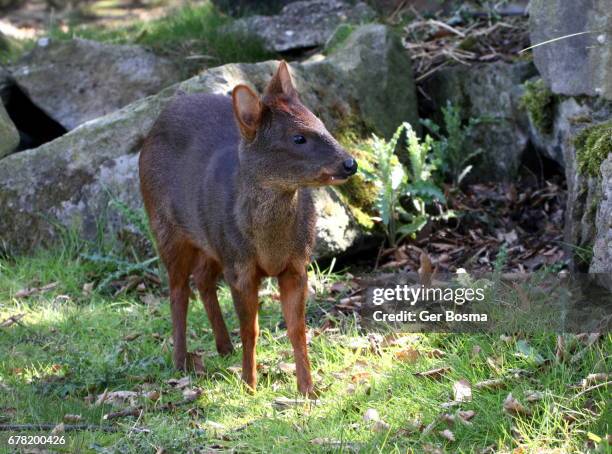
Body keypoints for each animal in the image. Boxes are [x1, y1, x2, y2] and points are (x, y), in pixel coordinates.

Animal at [139, 62, 358, 396]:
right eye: (298, 138)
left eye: (321, 123)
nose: (350, 163)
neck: (270, 245)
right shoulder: (240, 266)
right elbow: (250, 328)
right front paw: (250, 384)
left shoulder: (297, 265)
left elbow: (297, 328)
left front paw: (307, 388)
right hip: (165, 227)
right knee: (177, 290)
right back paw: (180, 361)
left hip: (212, 242)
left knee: (202, 279)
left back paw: (223, 347)